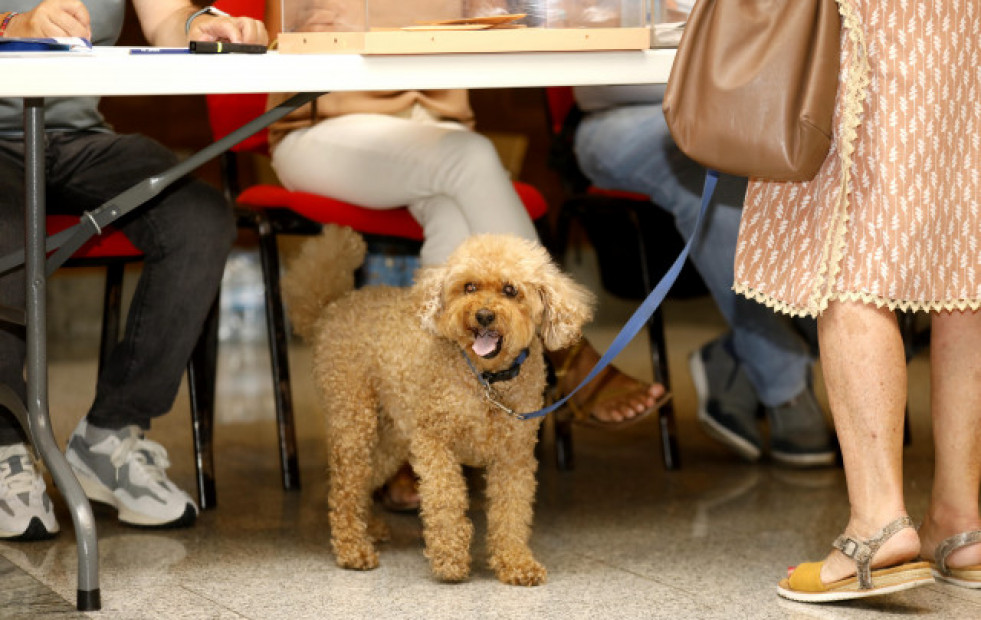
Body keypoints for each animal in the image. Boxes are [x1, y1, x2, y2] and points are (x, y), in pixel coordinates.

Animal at [280, 225, 592, 584]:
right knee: (345, 489)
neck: (486, 380)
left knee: (367, 479)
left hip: (392, 436)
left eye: (510, 290)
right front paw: (450, 560)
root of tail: (331, 307)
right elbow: (445, 500)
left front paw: (516, 563)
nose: (484, 315)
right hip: (354, 420)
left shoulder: (513, 457)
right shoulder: (435, 443)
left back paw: (369, 526)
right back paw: (353, 549)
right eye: (469, 286)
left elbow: (512, 511)